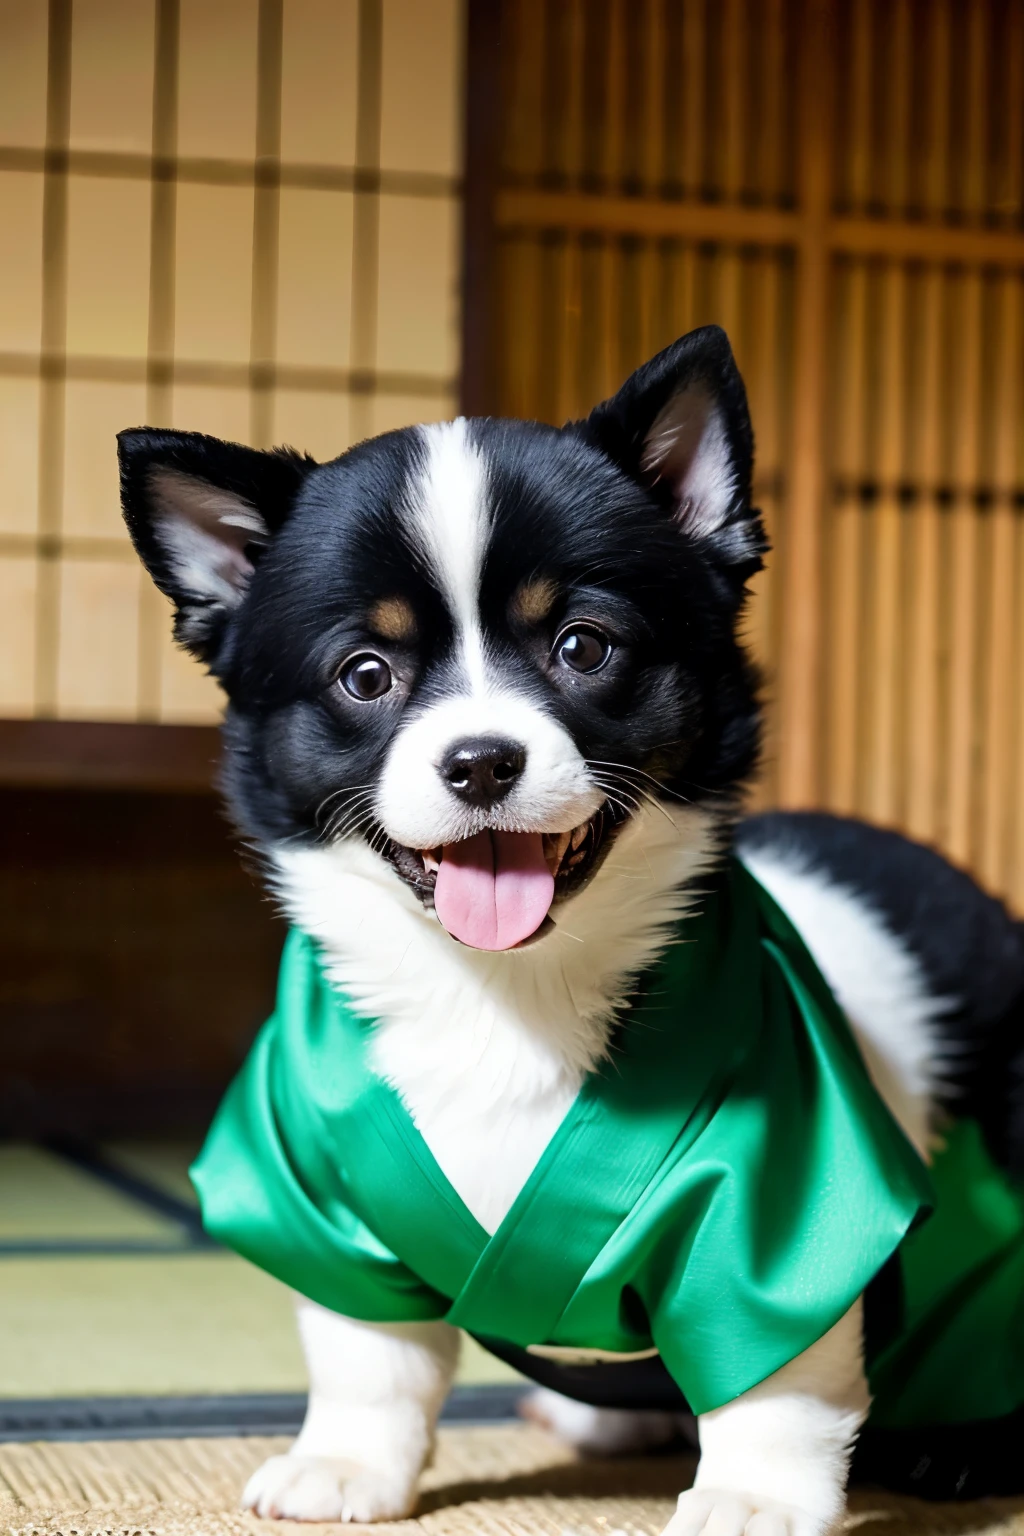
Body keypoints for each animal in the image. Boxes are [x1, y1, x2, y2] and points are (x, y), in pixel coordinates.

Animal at [115, 327, 1019, 1536]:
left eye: (585, 648)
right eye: (365, 674)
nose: (481, 761)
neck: (506, 999)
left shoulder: (785, 1201)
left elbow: (778, 1371)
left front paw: (753, 1496)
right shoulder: (321, 1187)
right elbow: (369, 1352)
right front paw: (347, 1460)